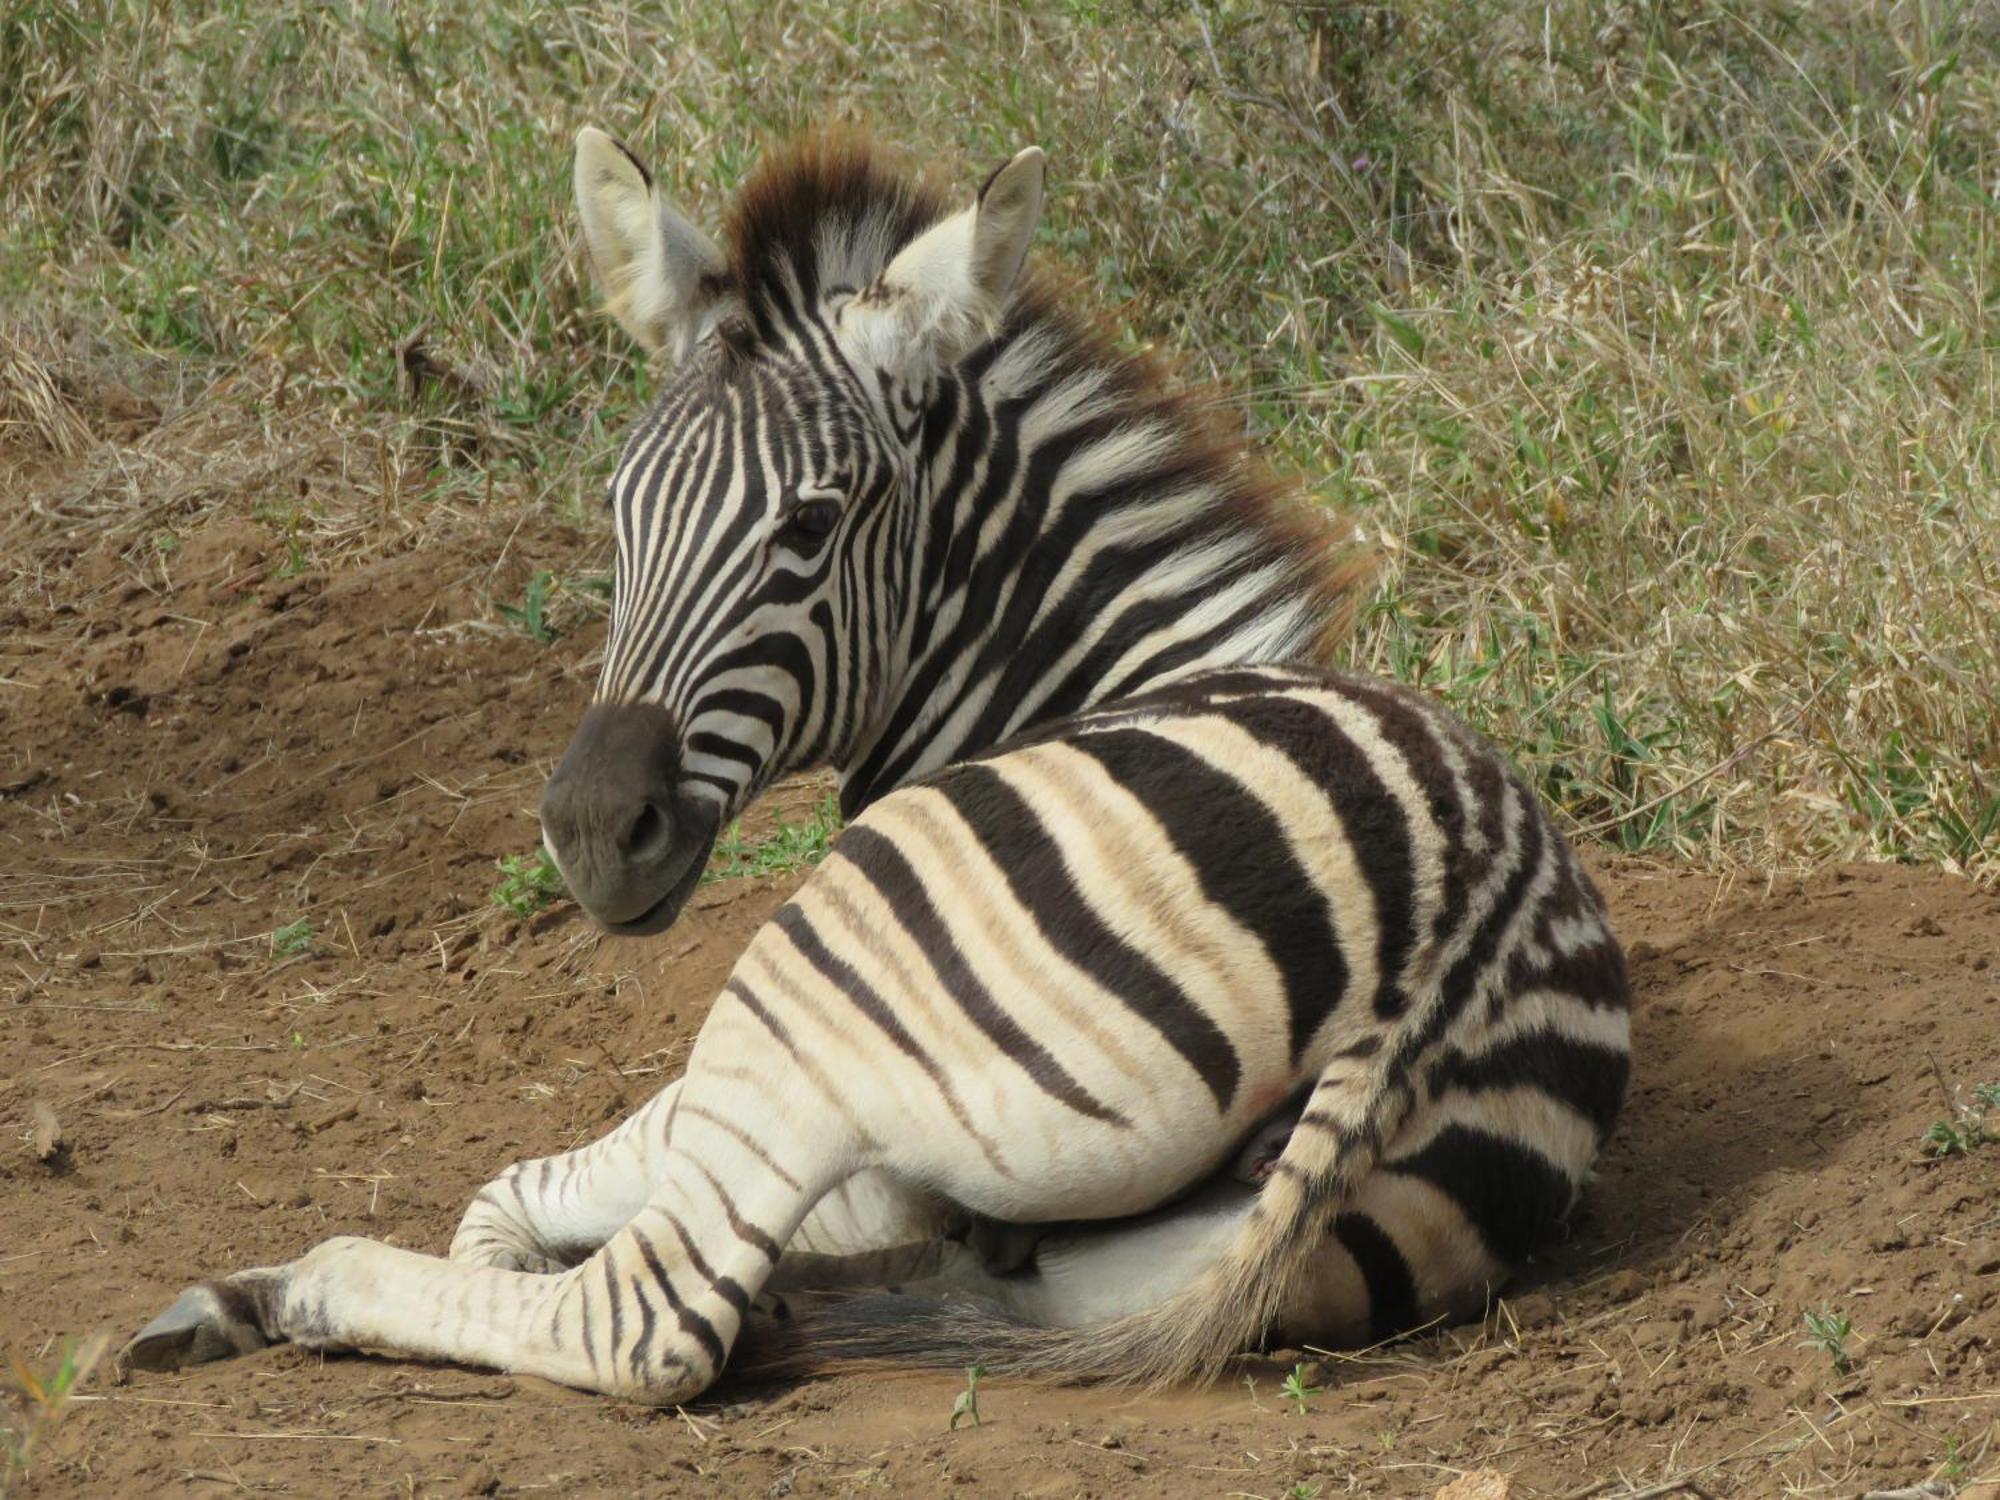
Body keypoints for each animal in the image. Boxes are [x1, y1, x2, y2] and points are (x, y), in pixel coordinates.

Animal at [121, 123, 1624, 1408]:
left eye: (810, 527)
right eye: (616, 510)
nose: (596, 830)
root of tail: (1447, 952)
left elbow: (520, 1191)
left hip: (810, 986)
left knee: (644, 1317)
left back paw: (295, 1291)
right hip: (1151, 1255)